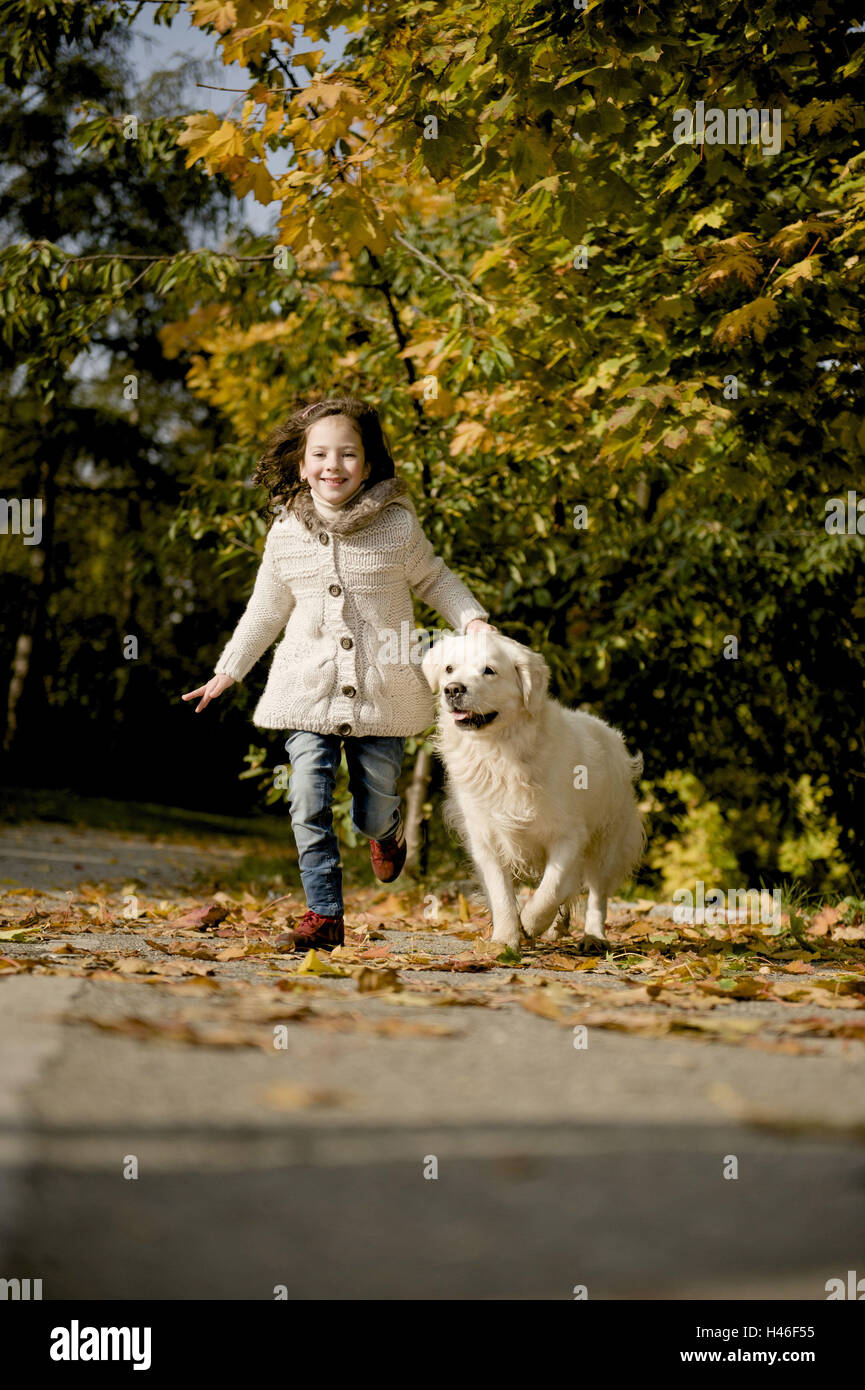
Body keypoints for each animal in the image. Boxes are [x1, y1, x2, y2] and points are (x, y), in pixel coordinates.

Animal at [422, 633, 648, 950]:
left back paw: (593, 937)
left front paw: (530, 923)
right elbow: (502, 894)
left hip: (607, 841)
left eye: (489, 670)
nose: (452, 689)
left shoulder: (569, 835)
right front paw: (505, 940)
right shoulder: (486, 839)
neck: (501, 752)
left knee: (597, 894)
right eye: (449, 668)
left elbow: (551, 888)